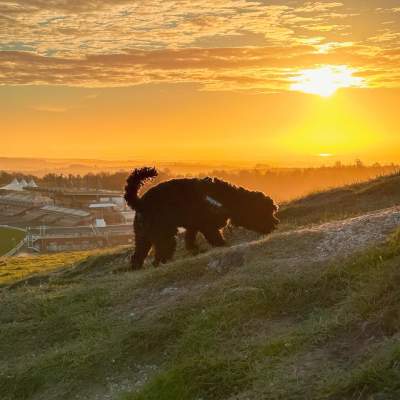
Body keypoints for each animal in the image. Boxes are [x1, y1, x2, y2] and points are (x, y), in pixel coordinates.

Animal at [124, 167, 278, 270]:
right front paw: (223, 246)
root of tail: (140, 202)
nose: (276, 223)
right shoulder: (208, 226)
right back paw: (162, 263)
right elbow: (216, 239)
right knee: (161, 253)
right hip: (163, 234)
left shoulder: (193, 226)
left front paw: (194, 250)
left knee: (138, 256)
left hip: (143, 236)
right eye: (266, 212)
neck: (226, 198)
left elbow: (190, 240)